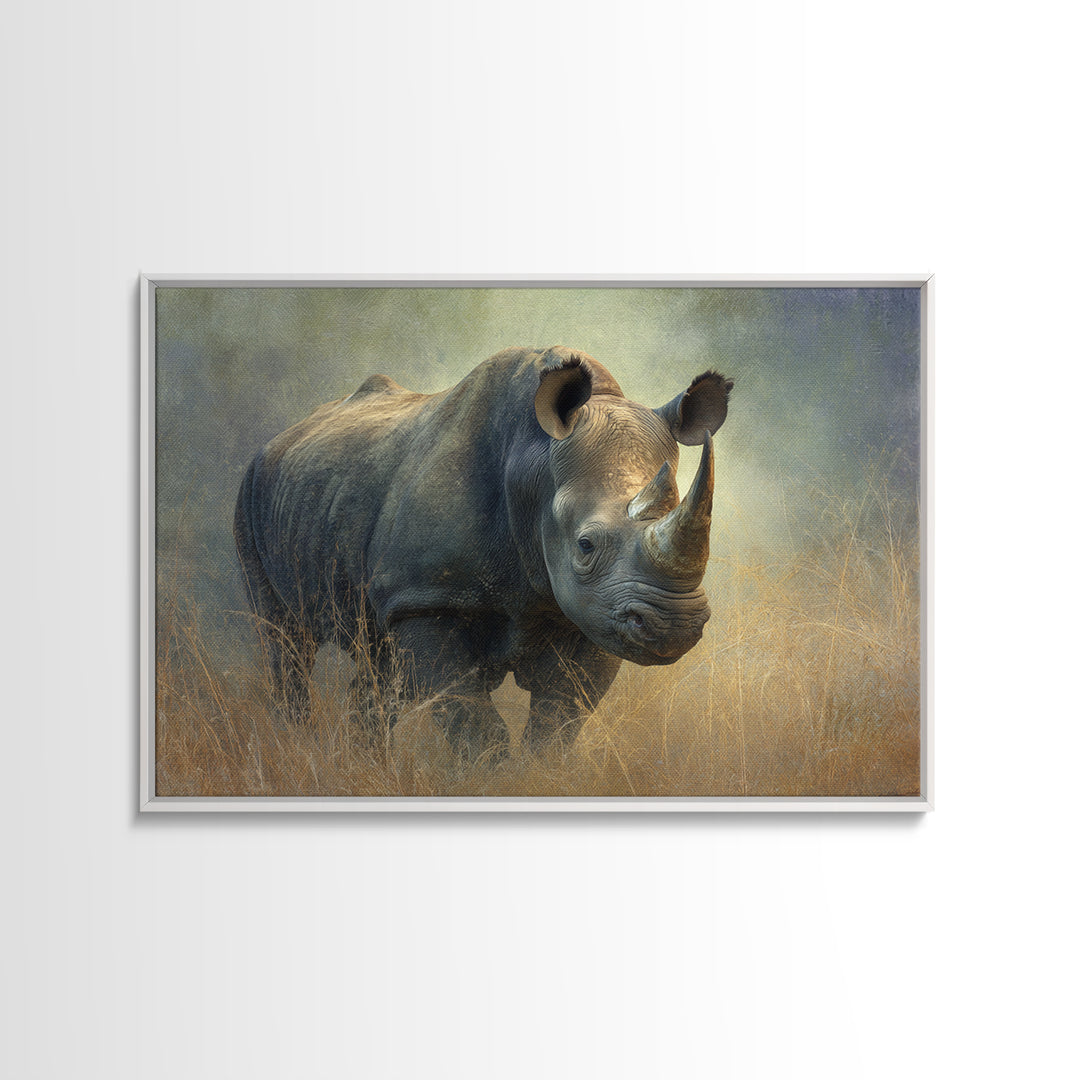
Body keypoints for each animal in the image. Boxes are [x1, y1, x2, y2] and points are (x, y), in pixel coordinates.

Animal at [234, 346, 733, 761]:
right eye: (585, 545)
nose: (674, 626)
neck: (533, 465)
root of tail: (283, 436)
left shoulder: (596, 615)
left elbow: (557, 723)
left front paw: (537, 777)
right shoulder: (426, 599)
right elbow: (474, 727)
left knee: (379, 665)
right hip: (250, 490)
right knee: (285, 642)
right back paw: (296, 748)